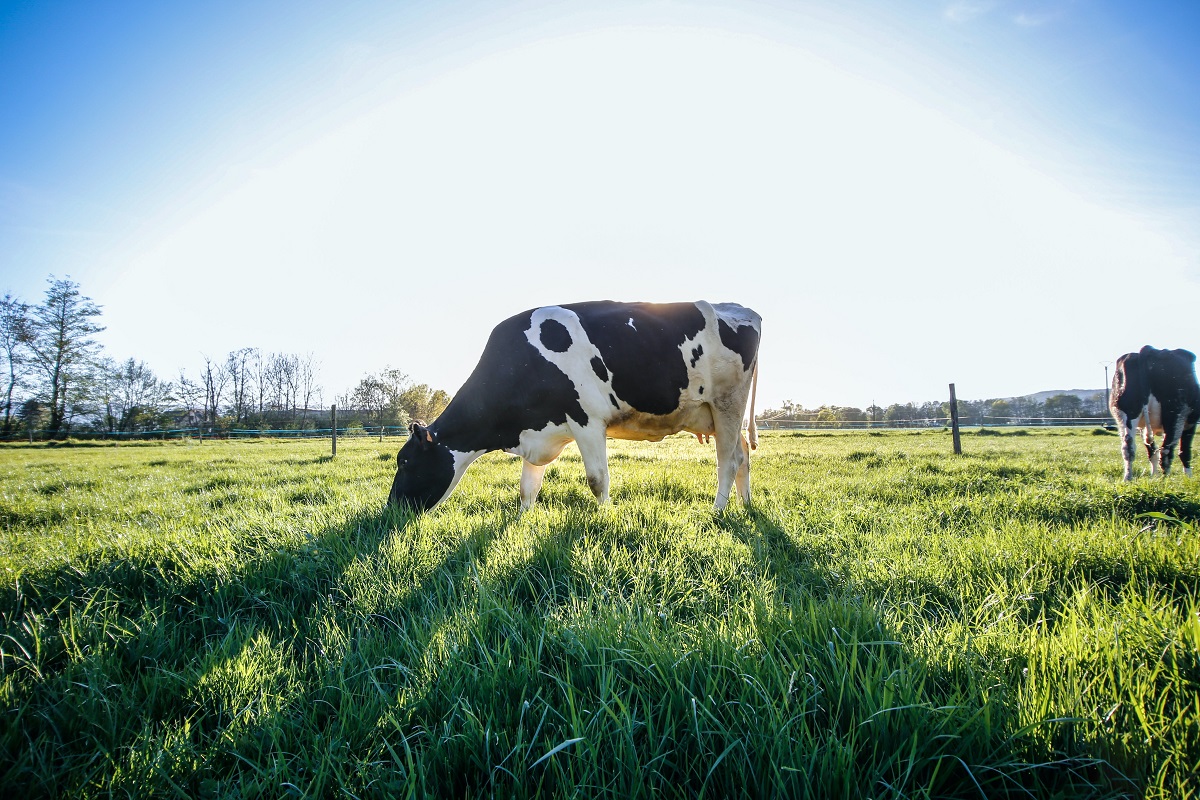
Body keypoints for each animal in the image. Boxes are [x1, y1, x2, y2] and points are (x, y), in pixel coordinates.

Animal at [388, 299, 763, 513]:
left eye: (404, 461)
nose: (391, 510)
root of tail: (742, 309)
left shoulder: (587, 420)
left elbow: (598, 480)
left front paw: (606, 517)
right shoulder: (538, 430)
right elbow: (527, 488)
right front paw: (522, 520)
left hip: (727, 404)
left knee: (728, 461)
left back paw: (717, 511)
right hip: (714, 414)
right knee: (743, 454)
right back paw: (745, 505)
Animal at [1104, 345, 1200, 482]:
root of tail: (1149, 350)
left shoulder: (1143, 427)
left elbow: (1151, 451)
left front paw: (1154, 476)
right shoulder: (1191, 422)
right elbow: (1184, 451)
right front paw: (1188, 477)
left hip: (1126, 413)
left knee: (1128, 447)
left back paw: (1128, 478)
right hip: (1174, 413)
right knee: (1166, 450)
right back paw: (1166, 480)